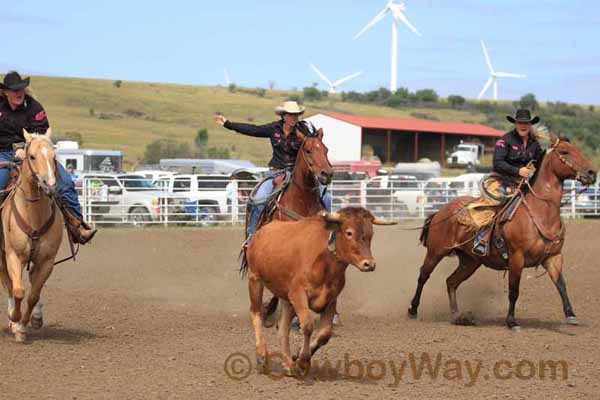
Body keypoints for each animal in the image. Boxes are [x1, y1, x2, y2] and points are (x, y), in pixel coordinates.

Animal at [0, 130, 63, 342]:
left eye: (54, 157)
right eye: (32, 156)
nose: (49, 186)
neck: (33, 214)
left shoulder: (47, 260)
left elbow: (34, 294)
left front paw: (25, 323)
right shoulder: (13, 255)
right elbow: (18, 290)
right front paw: (16, 321)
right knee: (9, 284)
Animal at [241, 208, 396, 376]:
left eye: (370, 233)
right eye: (349, 232)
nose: (369, 264)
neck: (326, 262)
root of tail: (260, 232)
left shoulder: (331, 300)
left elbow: (325, 334)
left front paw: (298, 356)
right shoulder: (298, 294)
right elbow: (308, 326)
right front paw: (302, 362)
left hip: (285, 297)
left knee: (282, 328)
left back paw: (288, 364)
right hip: (255, 279)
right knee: (256, 313)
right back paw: (262, 356)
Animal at [408, 134, 596, 332]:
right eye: (564, 152)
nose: (592, 172)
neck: (541, 212)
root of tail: (440, 212)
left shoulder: (553, 257)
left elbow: (561, 285)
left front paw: (571, 315)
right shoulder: (517, 258)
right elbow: (514, 290)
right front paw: (512, 321)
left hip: (470, 261)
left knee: (451, 282)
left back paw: (457, 316)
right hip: (436, 251)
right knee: (423, 275)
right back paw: (413, 310)